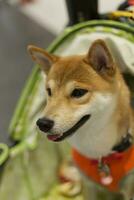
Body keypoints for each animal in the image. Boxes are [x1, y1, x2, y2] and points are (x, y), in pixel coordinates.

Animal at [28, 39, 134, 200]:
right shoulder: (88, 183)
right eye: (49, 91)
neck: (99, 154)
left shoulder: (129, 186)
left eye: (78, 92)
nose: (42, 123)